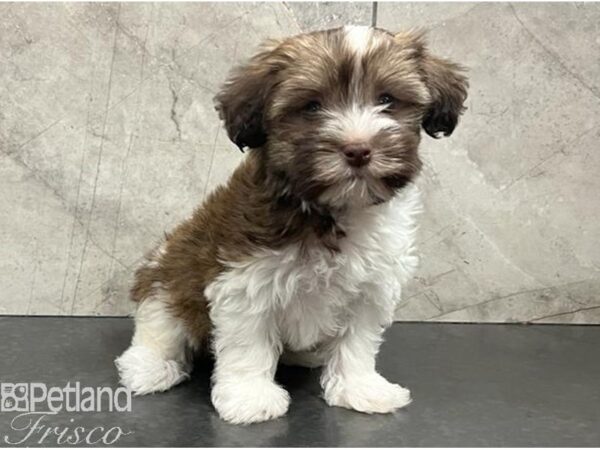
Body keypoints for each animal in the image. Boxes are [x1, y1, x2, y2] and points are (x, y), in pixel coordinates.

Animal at [116, 25, 468, 426]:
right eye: (312, 106)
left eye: (387, 99)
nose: (358, 150)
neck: (333, 208)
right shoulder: (245, 281)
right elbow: (248, 344)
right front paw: (249, 397)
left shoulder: (371, 289)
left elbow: (357, 343)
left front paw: (360, 388)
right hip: (168, 277)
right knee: (161, 324)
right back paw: (149, 367)